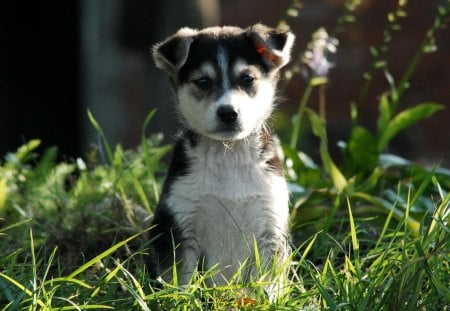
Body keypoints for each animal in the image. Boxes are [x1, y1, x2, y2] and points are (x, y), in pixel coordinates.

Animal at [149, 23, 296, 292]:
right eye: (203, 82)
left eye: (247, 79)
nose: (228, 113)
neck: (229, 156)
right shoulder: (180, 227)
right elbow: (179, 283)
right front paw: (178, 299)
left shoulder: (270, 229)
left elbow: (268, 285)